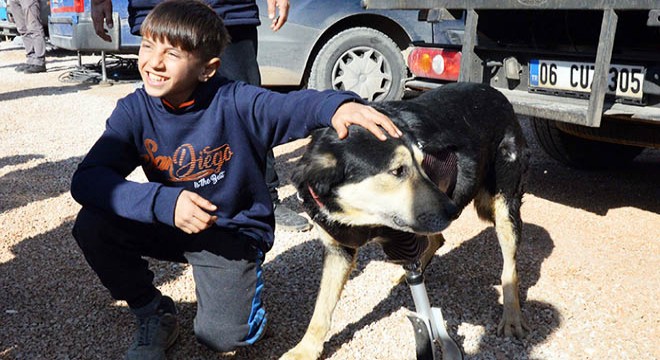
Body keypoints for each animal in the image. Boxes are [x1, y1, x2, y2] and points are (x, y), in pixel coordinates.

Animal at [284, 82, 532, 360]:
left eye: (422, 162)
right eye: (398, 170)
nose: (452, 209)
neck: (359, 216)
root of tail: (496, 93)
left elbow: (423, 310)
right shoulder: (339, 249)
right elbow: (321, 309)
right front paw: (304, 350)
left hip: (504, 207)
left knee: (509, 268)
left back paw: (511, 317)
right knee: (437, 238)